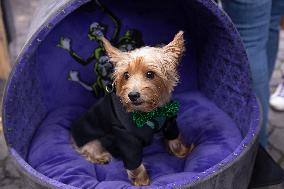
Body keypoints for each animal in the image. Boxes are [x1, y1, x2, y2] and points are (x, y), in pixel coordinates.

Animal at [71, 31, 193, 186]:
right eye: (126, 75)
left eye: (150, 74)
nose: (133, 95)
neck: (149, 112)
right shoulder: (126, 137)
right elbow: (134, 162)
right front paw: (142, 181)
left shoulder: (170, 120)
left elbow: (174, 139)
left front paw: (182, 152)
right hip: (90, 138)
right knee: (89, 148)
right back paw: (101, 156)